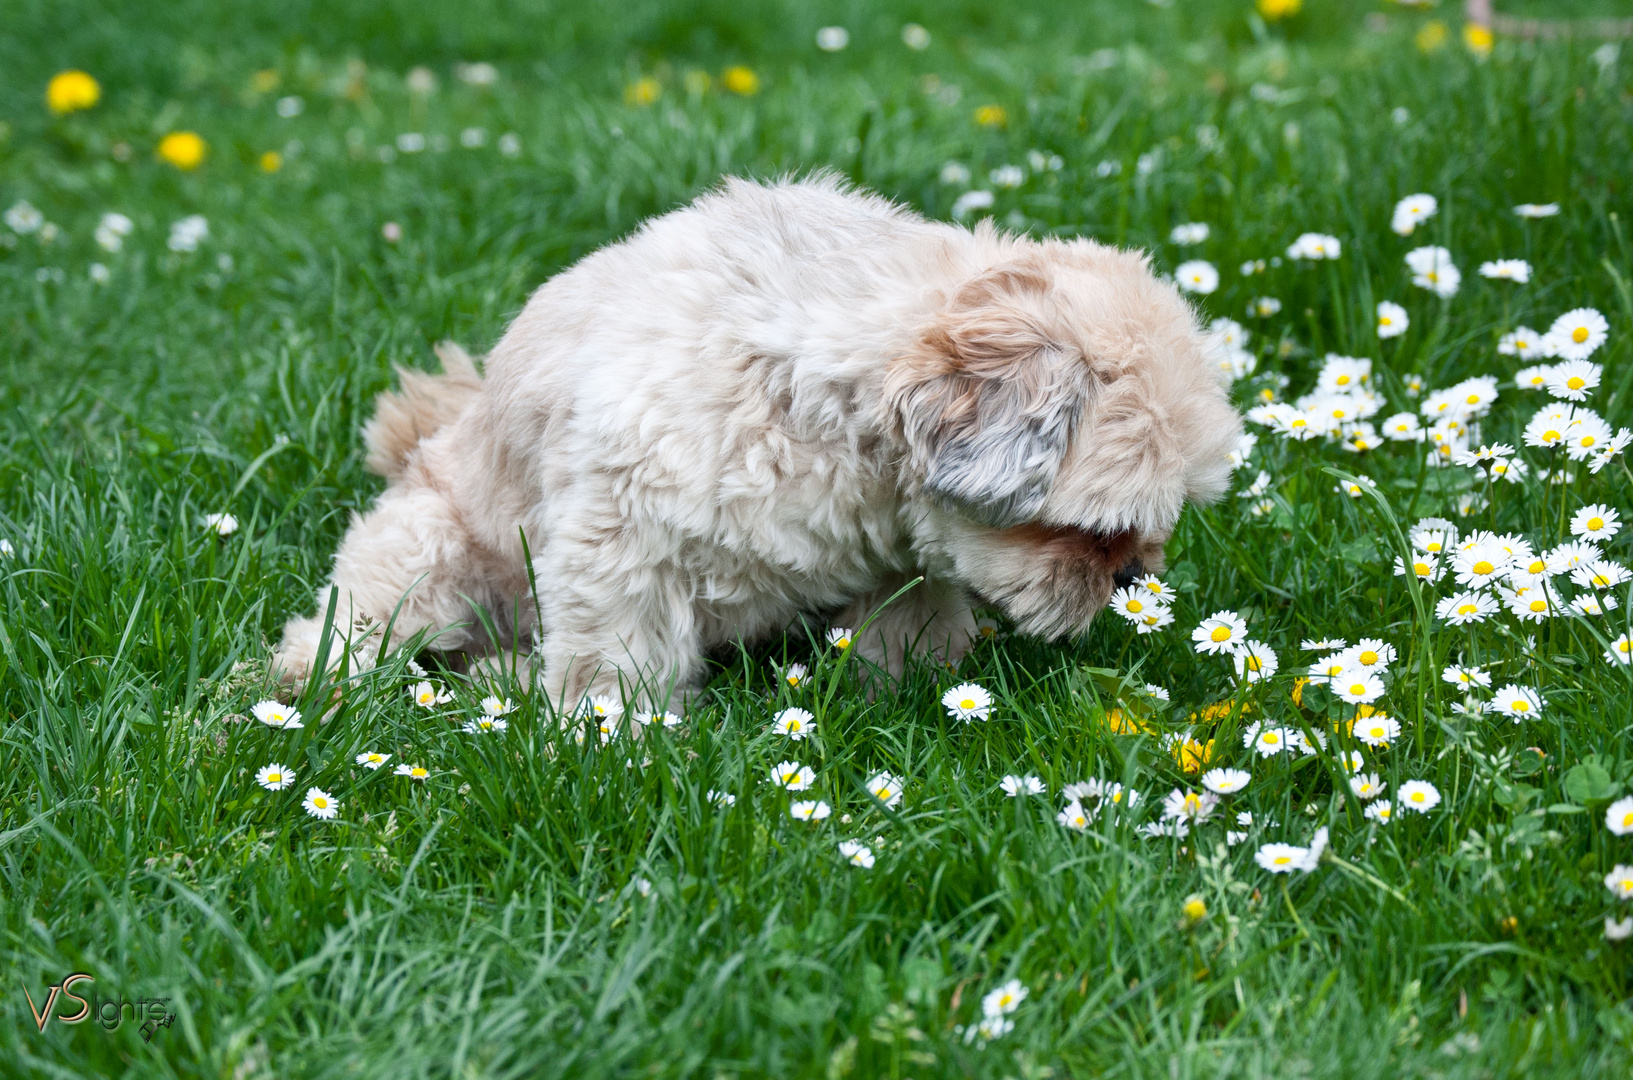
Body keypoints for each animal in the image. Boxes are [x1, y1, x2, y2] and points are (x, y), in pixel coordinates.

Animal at [271, 174, 1234, 709]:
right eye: (1092, 531)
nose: (1133, 578)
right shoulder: (619, 541)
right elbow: (612, 663)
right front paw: (606, 743)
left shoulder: (901, 564)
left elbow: (907, 630)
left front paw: (917, 694)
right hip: (426, 552)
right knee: (360, 631)